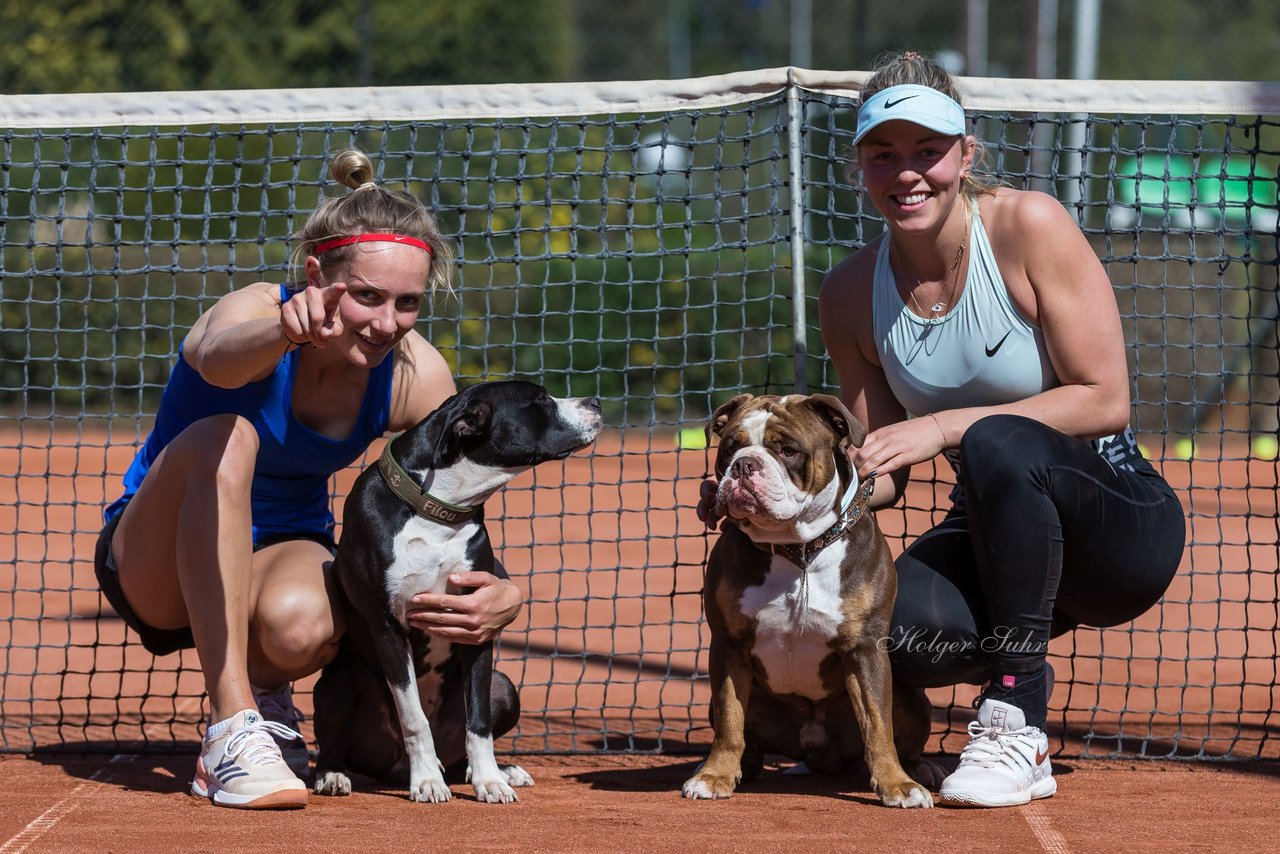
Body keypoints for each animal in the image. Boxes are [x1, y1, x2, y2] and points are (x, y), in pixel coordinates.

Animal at [314, 381, 604, 804]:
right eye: (538, 400)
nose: (596, 402)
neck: (435, 511)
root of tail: (391, 769)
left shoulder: (478, 623)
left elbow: (478, 721)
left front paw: (490, 781)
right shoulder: (387, 626)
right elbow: (414, 717)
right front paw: (426, 782)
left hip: (506, 688)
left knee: (463, 745)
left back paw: (499, 770)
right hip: (340, 681)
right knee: (334, 743)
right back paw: (335, 774)